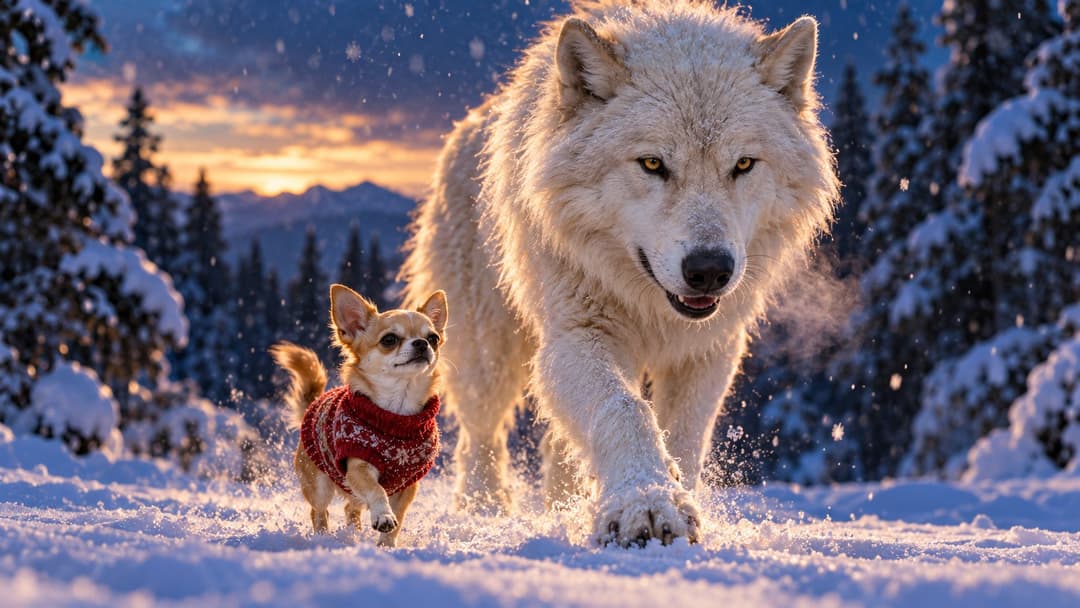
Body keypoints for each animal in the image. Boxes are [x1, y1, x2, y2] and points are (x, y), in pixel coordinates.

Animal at [400, 0, 838, 546]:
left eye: (743, 164)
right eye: (652, 163)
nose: (710, 270)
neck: (651, 307)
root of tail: (467, 123)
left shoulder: (708, 349)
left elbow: (684, 437)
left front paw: (672, 495)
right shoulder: (577, 336)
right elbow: (627, 410)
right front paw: (643, 505)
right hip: (488, 352)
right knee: (480, 437)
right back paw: (486, 512)